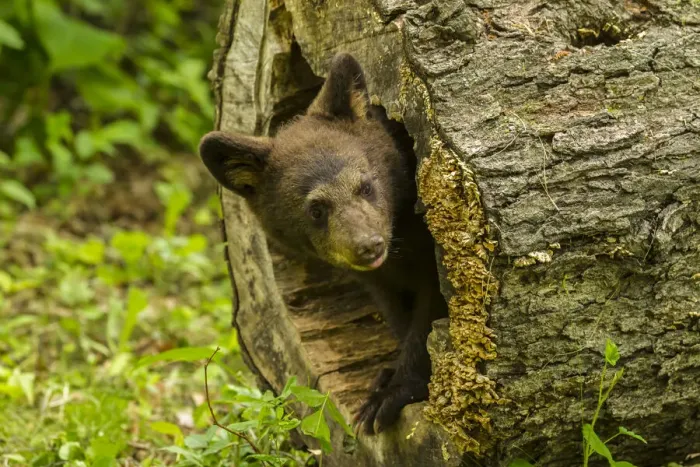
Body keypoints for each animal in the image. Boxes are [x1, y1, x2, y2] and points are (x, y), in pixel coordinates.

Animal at [199, 52, 447, 435]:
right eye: (316, 210)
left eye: (366, 185)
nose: (369, 246)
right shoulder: (377, 278)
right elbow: (396, 312)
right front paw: (387, 378)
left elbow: (429, 315)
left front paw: (391, 395)